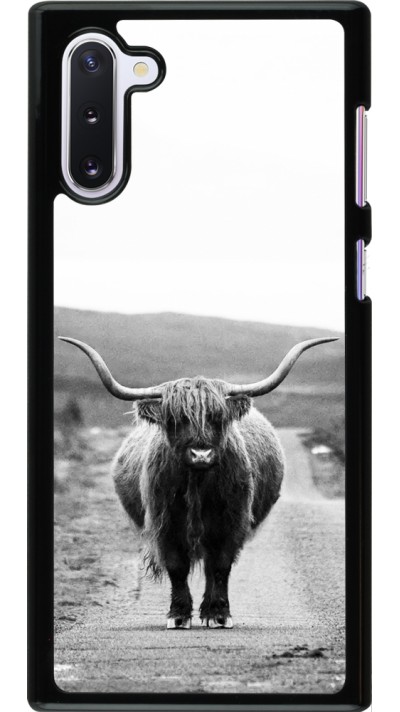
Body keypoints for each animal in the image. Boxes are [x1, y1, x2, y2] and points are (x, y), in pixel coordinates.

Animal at [59, 335, 337, 629]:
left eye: (217, 417)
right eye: (175, 419)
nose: (201, 454)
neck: (198, 484)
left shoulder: (231, 522)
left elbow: (220, 566)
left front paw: (218, 613)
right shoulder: (165, 523)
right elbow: (177, 567)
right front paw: (178, 615)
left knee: (211, 566)